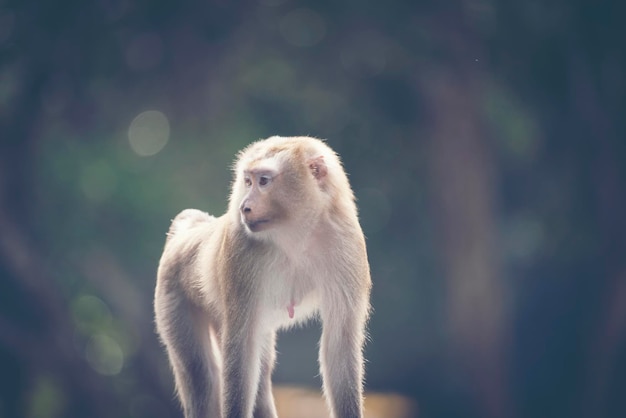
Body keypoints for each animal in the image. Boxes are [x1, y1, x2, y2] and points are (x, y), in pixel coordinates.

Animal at [154, 136, 370, 416]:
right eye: (248, 181)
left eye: (264, 181)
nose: (244, 207)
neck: (295, 233)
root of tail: (188, 234)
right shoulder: (240, 248)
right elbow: (241, 352)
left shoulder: (346, 242)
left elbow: (340, 344)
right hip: (173, 295)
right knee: (202, 375)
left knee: (260, 374)